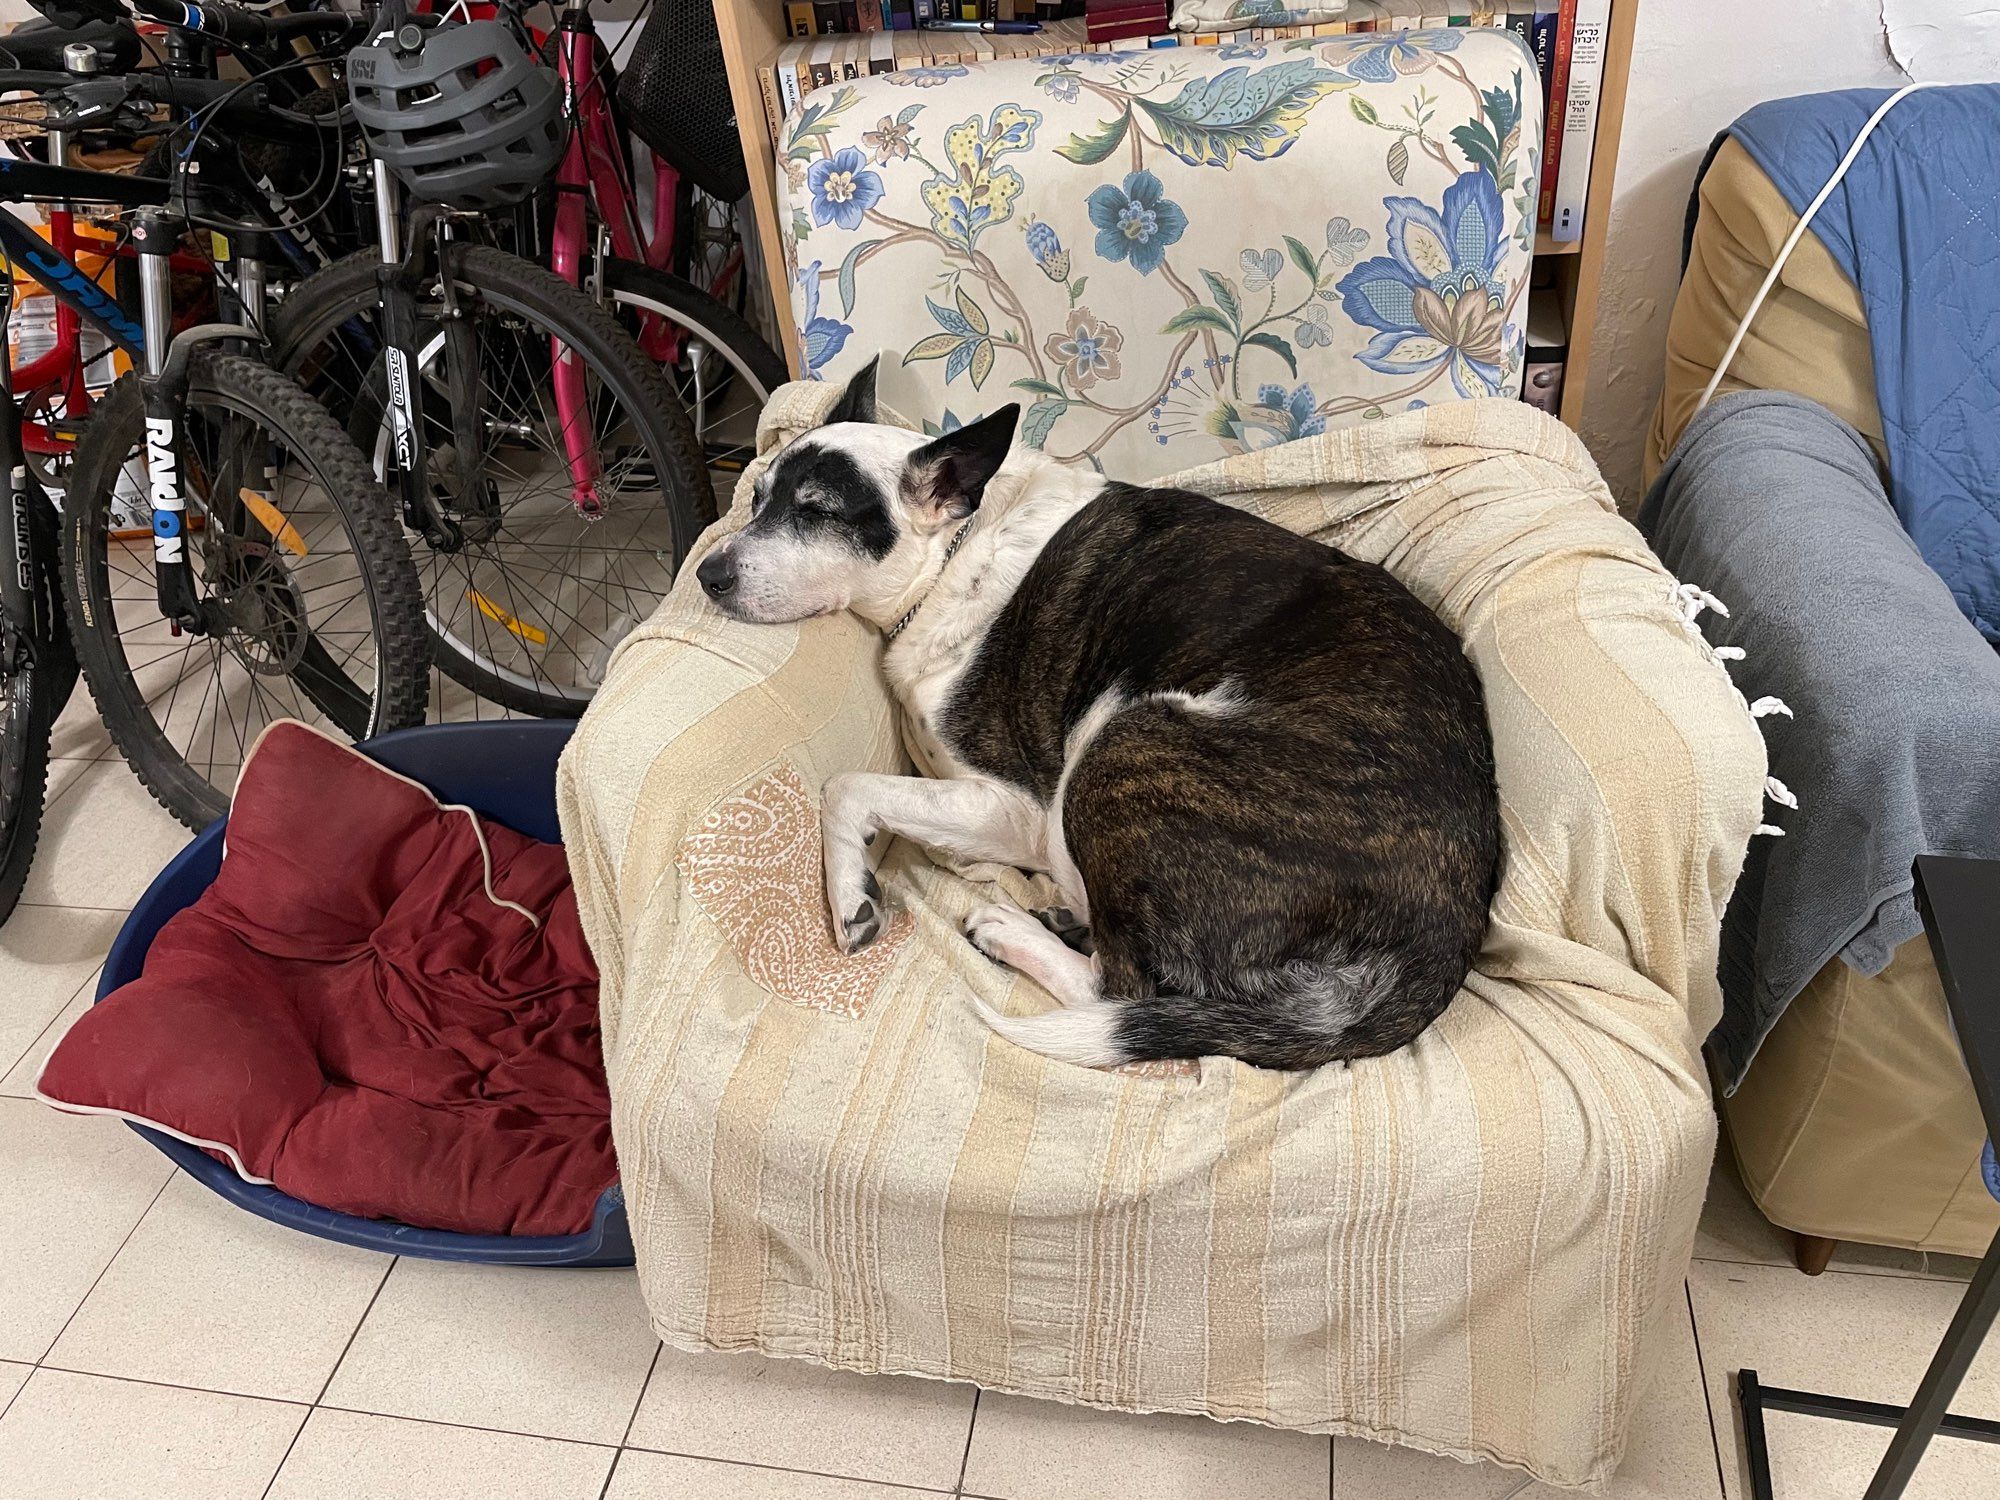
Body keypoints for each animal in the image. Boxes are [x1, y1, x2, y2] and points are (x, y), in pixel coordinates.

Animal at [696, 362, 1496, 1072]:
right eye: (755, 497)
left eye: (814, 512)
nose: (706, 574)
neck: (954, 554)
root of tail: (1445, 933)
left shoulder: (1013, 806)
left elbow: (844, 787)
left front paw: (850, 894)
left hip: (1121, 749)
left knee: (1121, 986)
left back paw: (1011, 929)